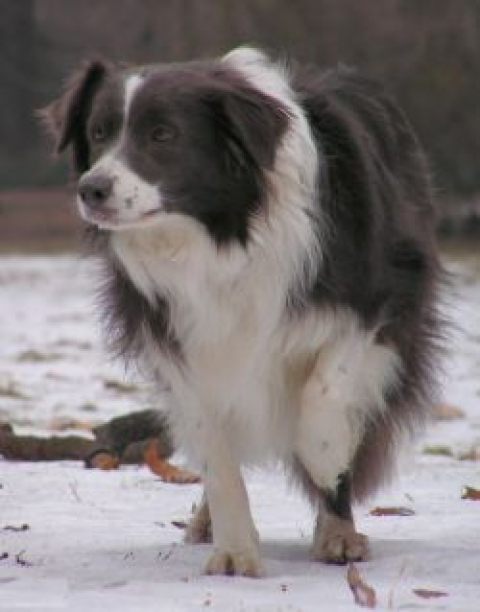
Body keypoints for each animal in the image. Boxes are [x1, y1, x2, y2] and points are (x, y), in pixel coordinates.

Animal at [43, 49, 440, 580]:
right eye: (99, 132)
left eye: (163, 134)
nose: (92, 189)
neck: (222, 233)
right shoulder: (175, 334)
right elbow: (215, 450)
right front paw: (234, 551)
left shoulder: (385, 293)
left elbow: (326, 390)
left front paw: (326, 457)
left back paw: (337, 530)